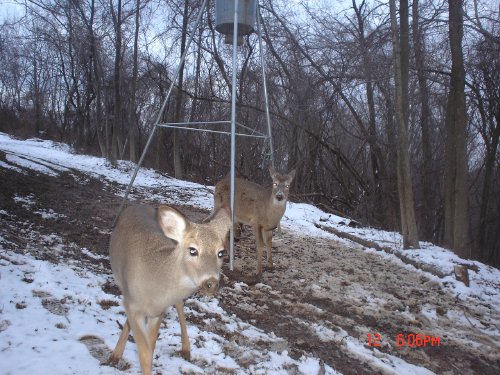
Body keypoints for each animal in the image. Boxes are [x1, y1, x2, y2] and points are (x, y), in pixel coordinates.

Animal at [107, 204, 230, 374]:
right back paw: (115, 355)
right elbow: (144, 353)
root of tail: (138, 204)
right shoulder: (133, 305)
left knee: (179, 304)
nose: (211, 282)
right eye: (193, 250)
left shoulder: (158, 312)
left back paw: (186, 349)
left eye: (221, 253)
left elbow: (150, 349)